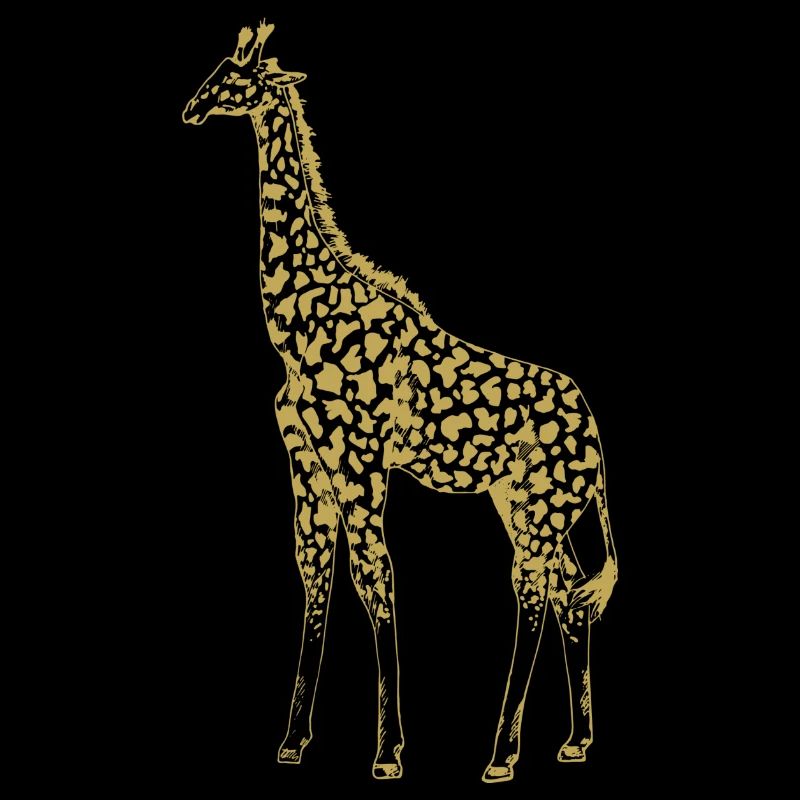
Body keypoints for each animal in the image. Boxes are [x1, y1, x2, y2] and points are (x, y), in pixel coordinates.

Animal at [183, 22, 618, 783]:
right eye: (216, 68)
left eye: (236, 77)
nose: (190, 109)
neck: (295, 325)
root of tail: (595, 428)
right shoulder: (308, 468)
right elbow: (315, 581)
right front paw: (293, 742)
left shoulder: (358, 465)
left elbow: (376, 581)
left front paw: (387, 751)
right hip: (526, 503)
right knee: (570, 595)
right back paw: (574, 742)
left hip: (541, 508)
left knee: (535, 593)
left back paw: (500, 754)